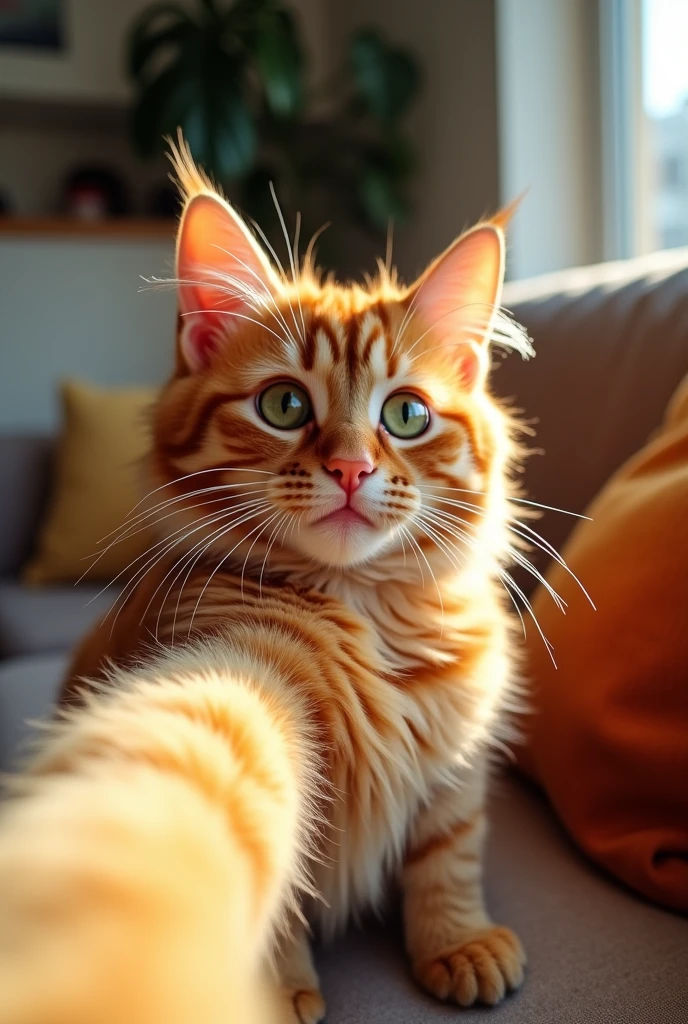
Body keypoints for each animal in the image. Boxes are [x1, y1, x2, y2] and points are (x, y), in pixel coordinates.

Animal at [0, 138, 532, 1024]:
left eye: (407, 415)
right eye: (284, 405)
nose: (351, 468)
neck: (368, 617)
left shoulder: (461, 754)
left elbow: (448, 851)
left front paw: (457, 941)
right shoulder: (237, 669)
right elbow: (276, 884)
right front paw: (273, 990)